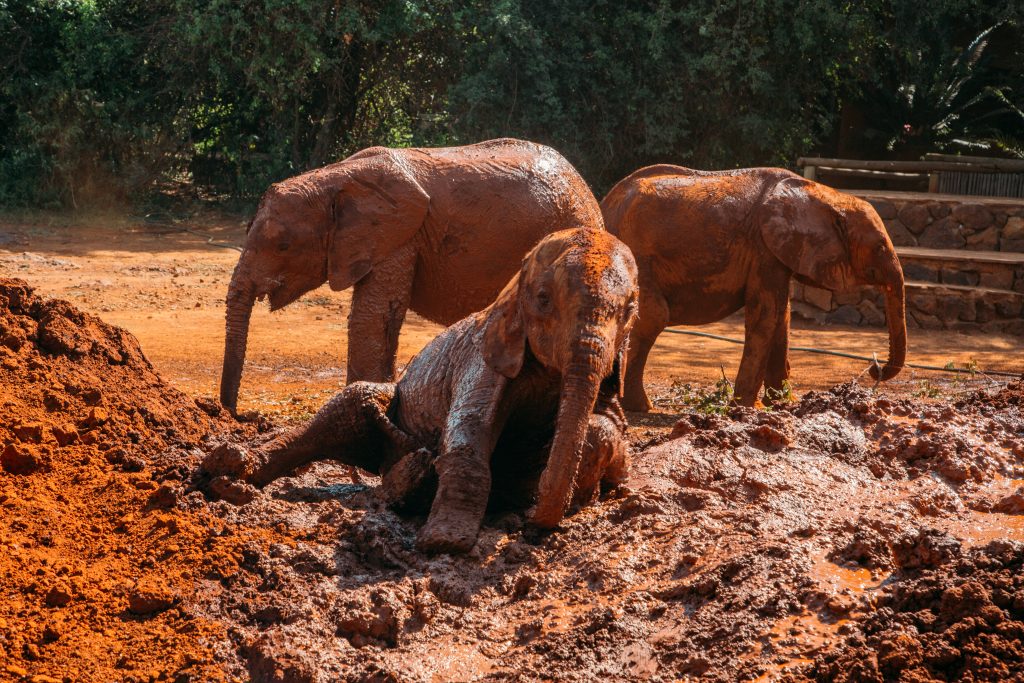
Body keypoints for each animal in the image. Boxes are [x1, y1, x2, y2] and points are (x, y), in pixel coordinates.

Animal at [203, 229, 638, 557]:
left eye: (630, 311)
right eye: (544, 299)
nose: (534, 523)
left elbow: (608, 426)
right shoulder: (482, 358)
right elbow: (469, 431)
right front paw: (444, 543)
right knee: (346, 408)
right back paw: (231, 469)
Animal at [598, 165, 905, 411]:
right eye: (879, 247)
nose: (874, 368)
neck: (825, 196)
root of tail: (605, 205)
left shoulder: (776, 255)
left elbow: (782, 319)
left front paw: (784, 404)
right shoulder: (763, 250)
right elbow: (766, 315)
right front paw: (748, 408)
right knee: (654, 316)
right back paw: (640, 407)